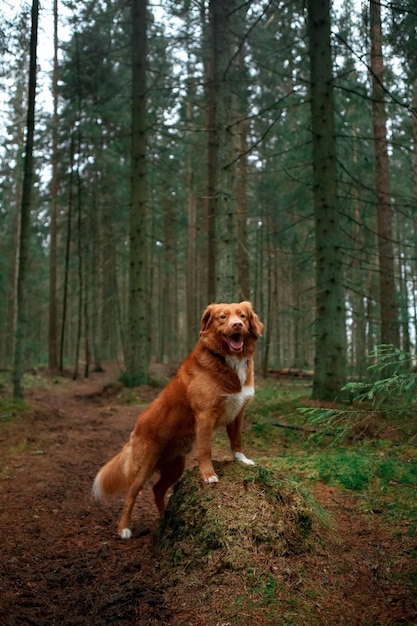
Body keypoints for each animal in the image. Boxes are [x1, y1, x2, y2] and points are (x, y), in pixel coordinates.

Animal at [94, 300, 264, 532]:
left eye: (242, 316)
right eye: (222, 317)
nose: (237, 325)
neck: (228, 359)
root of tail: (135, 429)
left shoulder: (238, 412)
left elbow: (236, 440)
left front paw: (242, 459)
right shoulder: (204, 415)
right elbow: (205, 450)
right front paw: (209, 475)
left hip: (174, 467)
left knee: (157, 489)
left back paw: (164, 517)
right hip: (143, 467)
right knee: (130, 496)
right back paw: (124, 529)